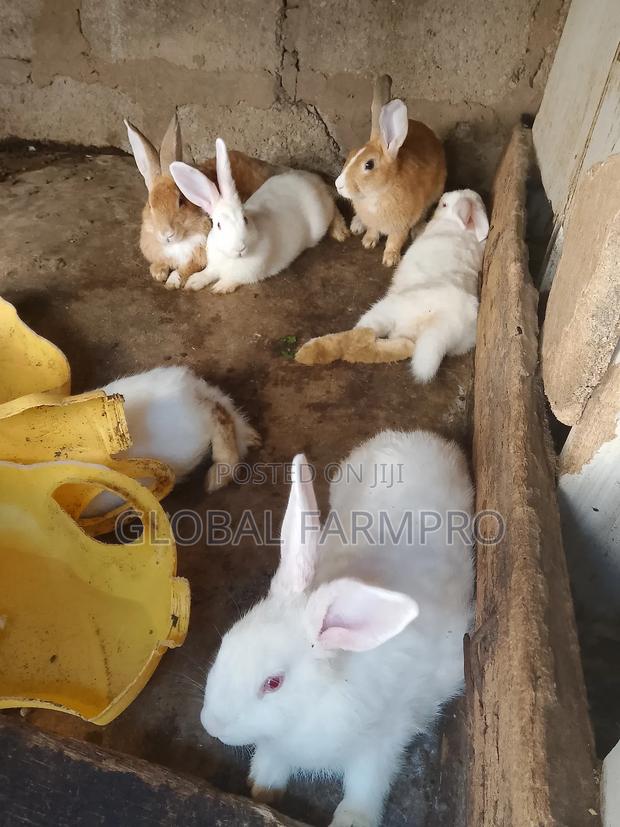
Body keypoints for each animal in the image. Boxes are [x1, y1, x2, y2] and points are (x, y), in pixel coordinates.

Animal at [125, 113, 278, 290]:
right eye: (150, 205)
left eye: (181, 201)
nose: (167, 234)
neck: (178, 241)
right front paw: (158, 273)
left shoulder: (198, 256)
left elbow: (185, 269)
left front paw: (172, 282)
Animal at [169, 138, 349, 294]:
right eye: (218, 225)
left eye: (244, 219)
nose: (240, 247)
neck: (233, 259)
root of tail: (314, 180)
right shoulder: (214, 265)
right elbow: (208, 272)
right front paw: (194, 281)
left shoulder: (249, 274)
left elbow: (233, 279)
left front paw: (220, 287)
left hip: (321, 219)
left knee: (334, 207)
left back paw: (340, 231)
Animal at [200, 430, 474, 827]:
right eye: (225, 643)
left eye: (273, 683)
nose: (211, 725)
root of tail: (412, 436)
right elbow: (271, 758)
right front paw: (262, 787)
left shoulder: (382, 738)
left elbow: (366, 783)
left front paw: (352, 819)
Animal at [335, 75, 446, 267]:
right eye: (351, 154)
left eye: (369, 165)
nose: (338, 185)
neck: (377, 194)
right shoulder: (373, 222)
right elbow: (373, 230)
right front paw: (368, 241)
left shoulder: (401, 225)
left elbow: (395, 240)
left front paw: (390, 259)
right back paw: (357, 225)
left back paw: (419, 230)